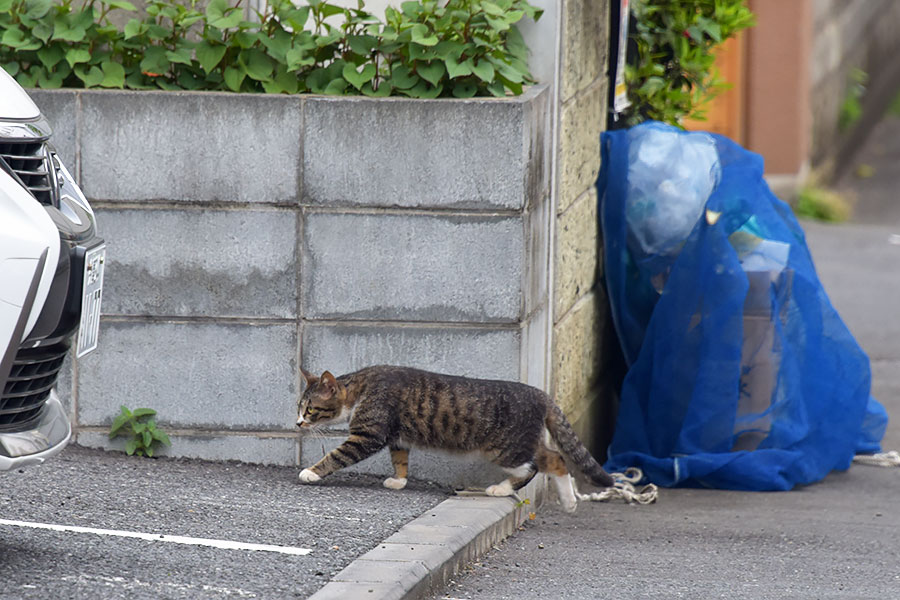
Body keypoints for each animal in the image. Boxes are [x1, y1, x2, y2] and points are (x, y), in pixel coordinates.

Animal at [298, 366, 616, 510]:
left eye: (310, 409)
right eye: (298, 407)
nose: (298, 422)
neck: (360, 389)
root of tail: (540, 393)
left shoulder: (368, 435)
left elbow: (337, 455)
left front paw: (312, 472)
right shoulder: (397, 439)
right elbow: (400, 459)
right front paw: (399, 481)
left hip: (503, 449)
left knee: (534, 467)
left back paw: (501, 488)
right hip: (522, 443)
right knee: (556, 458)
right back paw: (569, 501)